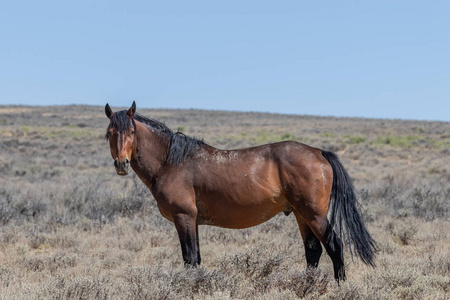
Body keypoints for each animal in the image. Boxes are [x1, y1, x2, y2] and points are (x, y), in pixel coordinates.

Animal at [103, 101, 374, 282]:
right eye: (109, 133)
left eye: (132, 132)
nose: (121, 164)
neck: (171, 162)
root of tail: (319, 152)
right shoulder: (193, 221)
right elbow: (196, 258)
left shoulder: (184, 218)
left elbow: (189, 258)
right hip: (300, 214)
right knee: (313, 250)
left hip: (314, 214)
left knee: (334, 246)